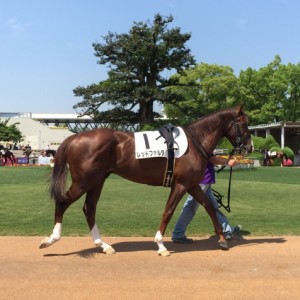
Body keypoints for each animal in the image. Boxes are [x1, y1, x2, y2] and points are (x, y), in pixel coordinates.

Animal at [39, 105, 251, 255]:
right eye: (244, 123)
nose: (249, 147)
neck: (194, 142)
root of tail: (74, 138)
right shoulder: (181, 184)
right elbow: (168, 211)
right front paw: (161, 245)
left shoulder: (191, 185)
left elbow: (209, 207)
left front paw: (222, 239)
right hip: (84, 182)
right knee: (63, 201)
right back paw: (51, 239)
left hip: (97, 181)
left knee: (89, 209)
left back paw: (103, 245)